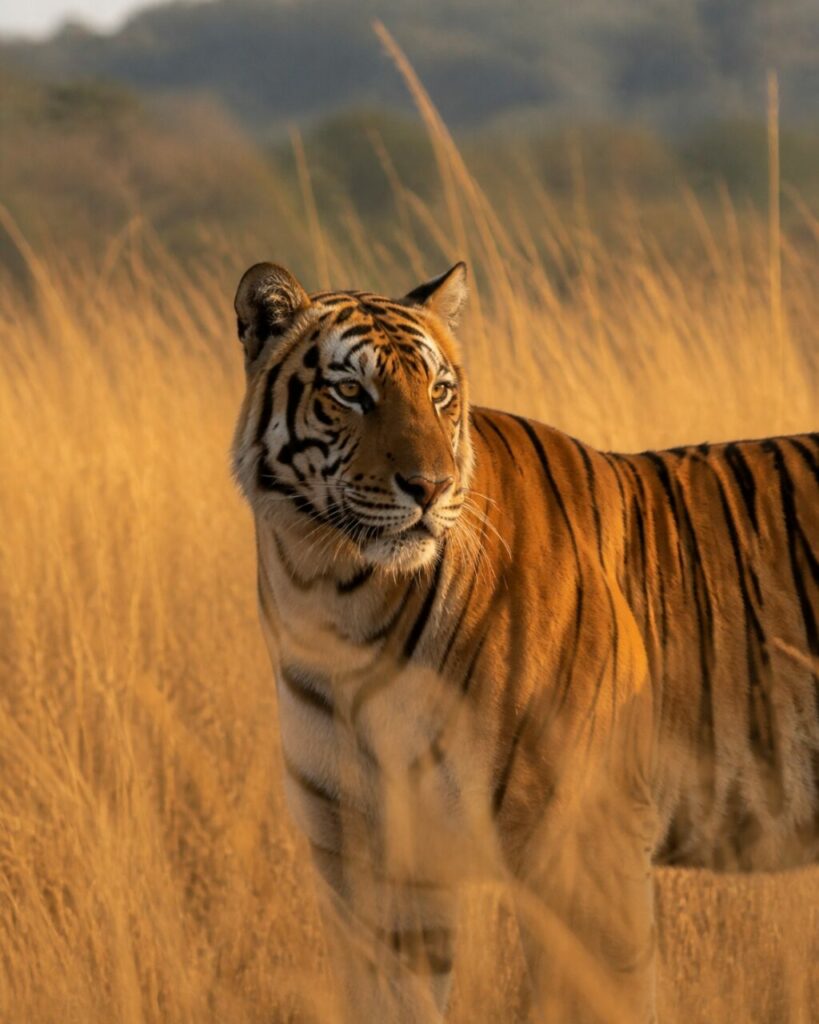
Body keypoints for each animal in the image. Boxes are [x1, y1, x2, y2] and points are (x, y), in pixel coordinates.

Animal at [231, 259, 818, 1023]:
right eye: (351, 392)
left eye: (440, 392)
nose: (429, 487)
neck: (335, 600)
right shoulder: (369, 866)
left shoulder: (583, 847)